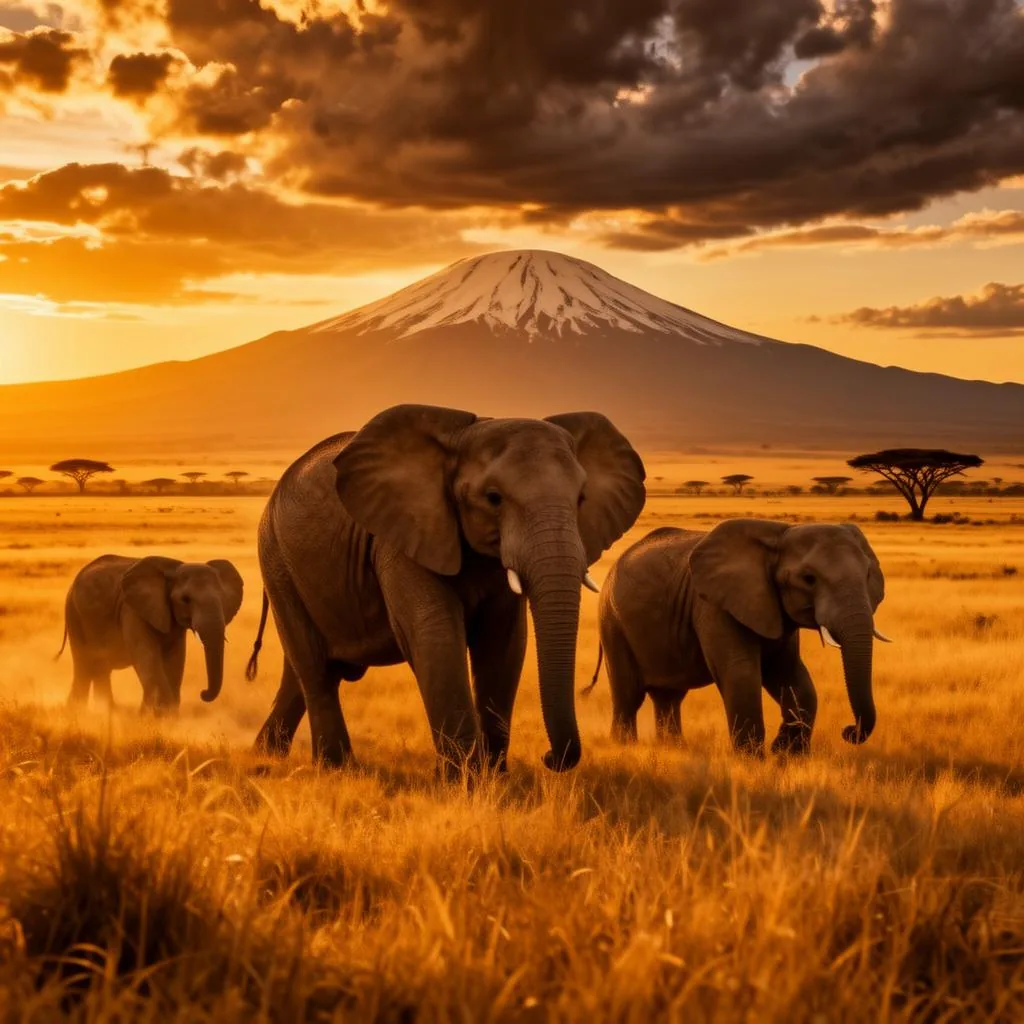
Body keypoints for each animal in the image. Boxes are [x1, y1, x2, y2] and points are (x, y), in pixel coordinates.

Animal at [58, 555, 244, 712]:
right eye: (185, 599)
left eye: (223, 598)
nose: (203, 693)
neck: (175, 568)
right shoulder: (132, 610)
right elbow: (147, 657)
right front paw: (153, 717)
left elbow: (175, 660)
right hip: (74, 615)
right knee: (84, 666)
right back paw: (79, 712)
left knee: (100, 668)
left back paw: (106, 711)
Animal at [246, 403, 646, 775]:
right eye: (493, 497)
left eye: (581, 499)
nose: (548, 757)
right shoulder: (402, 534)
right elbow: (434, 634)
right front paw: (463, 780)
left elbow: (503, 642)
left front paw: (494, 777)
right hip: (277, 560)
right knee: (315, 670)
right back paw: (337, 768)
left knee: (303, 673)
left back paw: (268, 755)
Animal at [587, 519, 889, 755]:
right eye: (808, 578)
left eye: (868, 574)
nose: (848, 731)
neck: (781, 535)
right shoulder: (713, 606)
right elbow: (740, 673)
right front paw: (752, 760)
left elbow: (791, 675)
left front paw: (786, 754)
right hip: (612, 622)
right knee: (628, 695)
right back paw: (625, 747)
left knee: (668, 697)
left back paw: (673, 749)